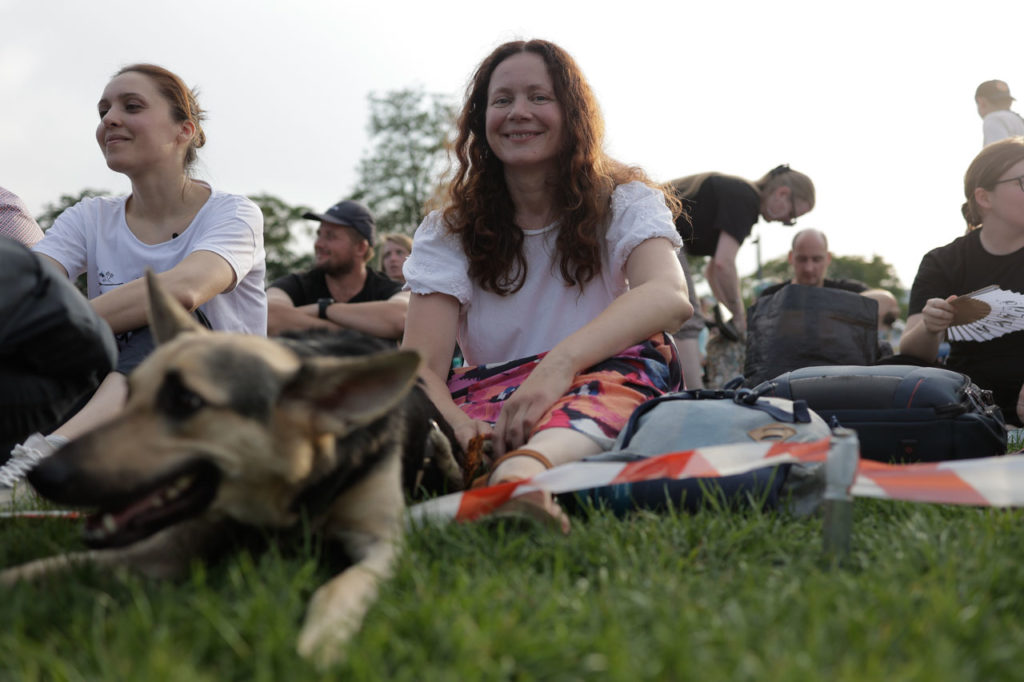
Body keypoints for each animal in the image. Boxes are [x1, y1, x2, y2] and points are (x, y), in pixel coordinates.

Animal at [1, 270, 464, 663]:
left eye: (186, 401)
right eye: (128, 395)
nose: (39, 475)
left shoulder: (381, 543)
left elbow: (340, 587)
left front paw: (322, 640)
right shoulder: (173, 542)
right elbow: (60, 563)